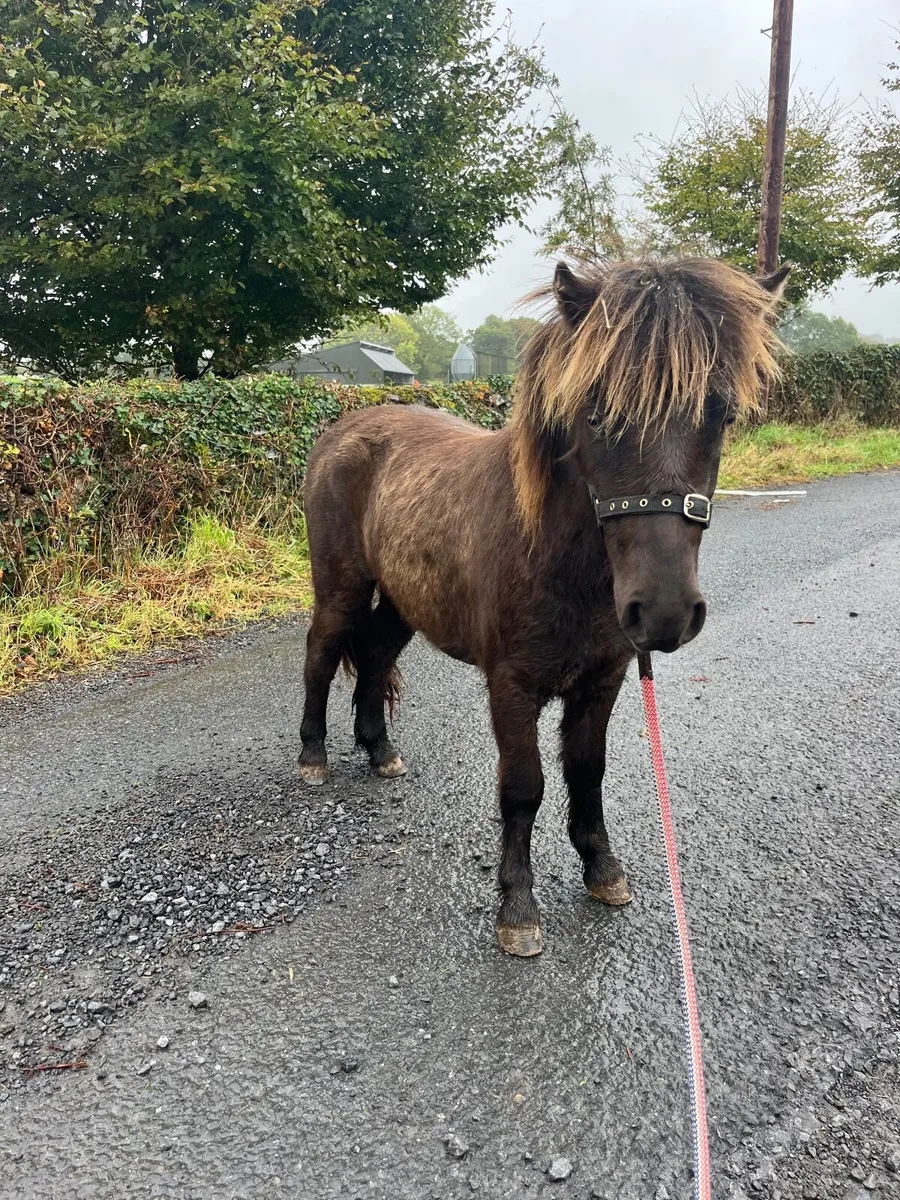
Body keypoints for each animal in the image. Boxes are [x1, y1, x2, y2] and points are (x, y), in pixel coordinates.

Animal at [299, 257, 789, 957]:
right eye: (597, 413)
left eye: (720, 415)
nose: (664, 612)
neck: (554, 557)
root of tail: (342, 430)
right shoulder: (512, 686)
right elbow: (523, 787)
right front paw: (518, 908)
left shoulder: (602, 681)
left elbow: (586, 772)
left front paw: (603, 869)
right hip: (340, 586)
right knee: (321, 653)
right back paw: (313, 756)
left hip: (402, 600)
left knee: (371, 656)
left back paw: (379, 750)